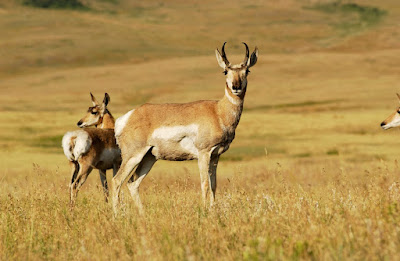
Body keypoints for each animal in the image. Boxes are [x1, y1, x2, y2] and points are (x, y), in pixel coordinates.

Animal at [111, 42, 258, 212]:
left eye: (247, 70)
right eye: (225, 71)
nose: (236, 87)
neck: (218, 111)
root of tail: (127, 117)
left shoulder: (216, 156)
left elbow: (214, 185)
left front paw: (213, 210)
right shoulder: (204, 153)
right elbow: (205, 184)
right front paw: (204, 210)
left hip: (149, 157)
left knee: (132, 183)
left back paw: (142, 214)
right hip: (133, 155)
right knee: (116, 181)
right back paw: (117, 214)